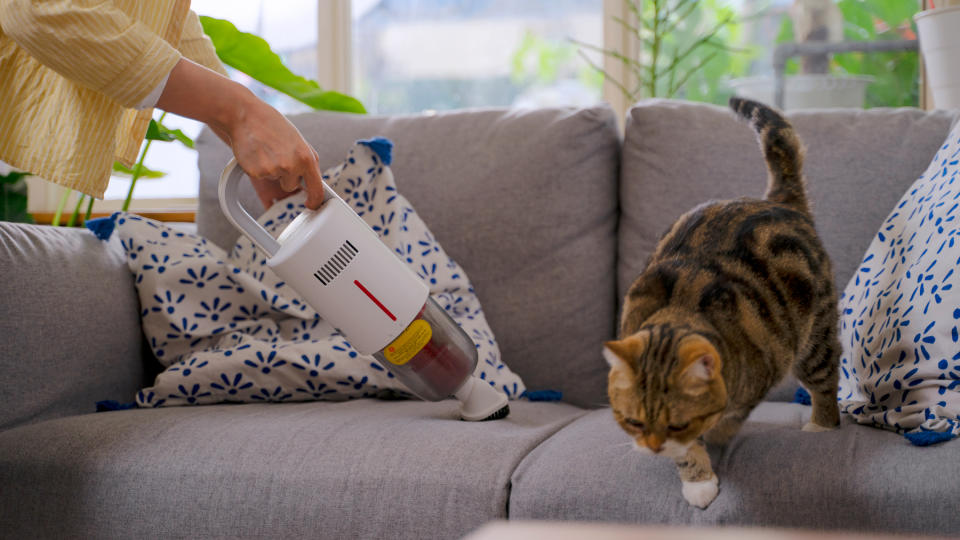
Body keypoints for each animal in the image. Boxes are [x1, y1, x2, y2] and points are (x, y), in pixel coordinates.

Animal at [608, 98, 840, 510]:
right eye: (633, 421)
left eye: (676, 423)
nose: (652, 447)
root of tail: (778, 200)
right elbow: (689, 452)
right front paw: (698, 479)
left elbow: (722, 422)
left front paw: (713, 440)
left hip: (815, 337)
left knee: (826, 381)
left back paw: (821, 426)